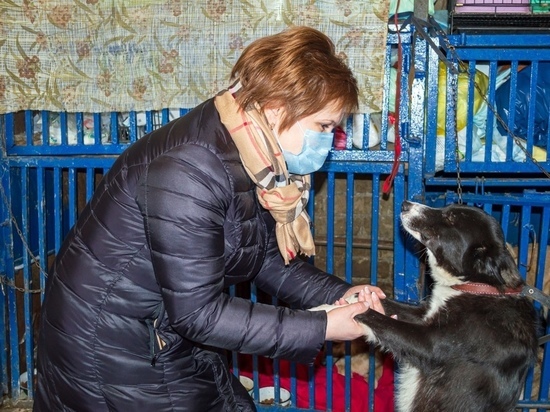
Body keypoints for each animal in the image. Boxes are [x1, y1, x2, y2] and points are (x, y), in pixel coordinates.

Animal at [340, 202, 540, 412]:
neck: (477, 286)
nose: (405, 204)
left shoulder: (430, 343)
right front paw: (357, 296)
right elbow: (392, 306)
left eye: (451, 218)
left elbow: (385, 323)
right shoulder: (424, 315)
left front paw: (353, 307)